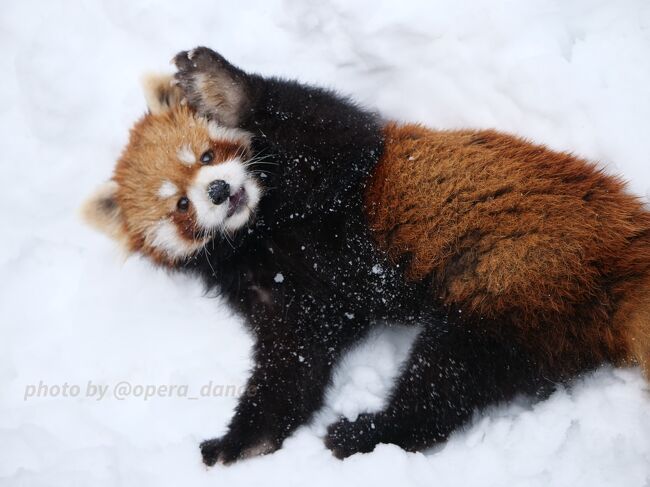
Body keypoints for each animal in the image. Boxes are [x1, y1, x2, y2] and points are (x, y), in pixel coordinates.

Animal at [82, 48, 648, 466]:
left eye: (206, 155)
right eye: (180, 205)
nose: (219, 191)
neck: (264, 229)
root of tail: (620, 255)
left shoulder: (345, 169)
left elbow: (321, 121)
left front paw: (217, 84)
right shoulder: (291, 298)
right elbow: (294, 362)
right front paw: (243, 441)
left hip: (518, 271)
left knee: (446, 376)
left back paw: (365, 433)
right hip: (530, 302)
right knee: (455, 379)